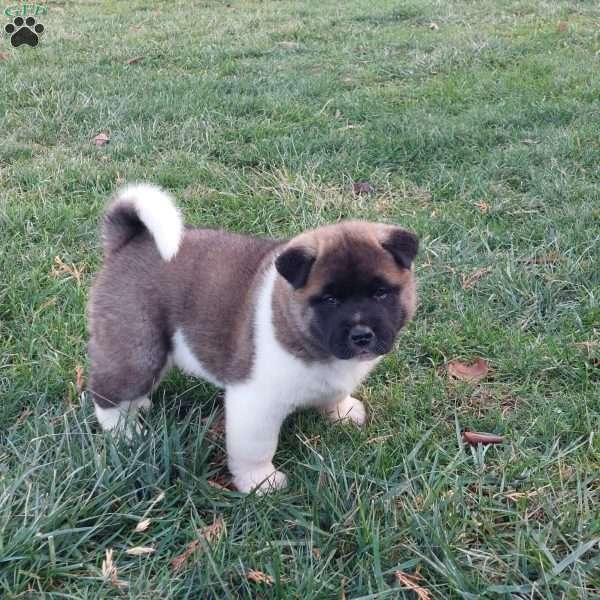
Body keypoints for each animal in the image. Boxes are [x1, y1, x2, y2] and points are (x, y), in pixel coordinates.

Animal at [86, 184, 420, 492]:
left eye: (380, 293)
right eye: (330, 300)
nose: (362, 335)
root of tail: (130, 241)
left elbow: (335, 394)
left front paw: (343, 412)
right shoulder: (256, 404)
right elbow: (256, 449)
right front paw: (261, 483)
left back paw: (138, 407)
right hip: (136, 350)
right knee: (108, 395)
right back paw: (125, 434)